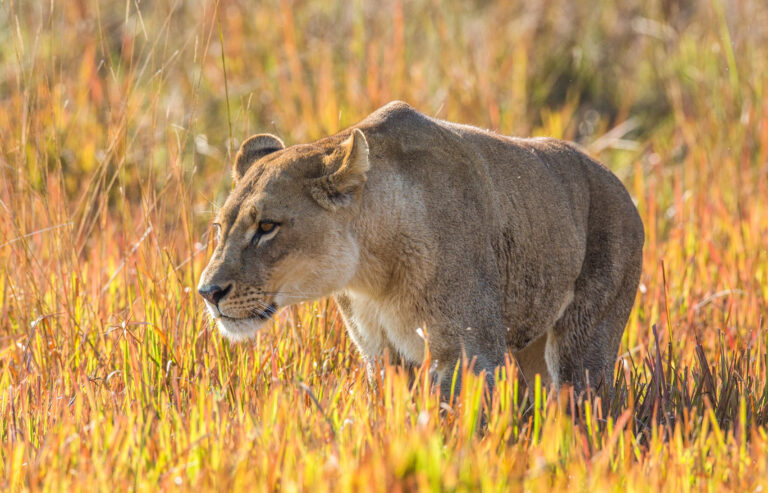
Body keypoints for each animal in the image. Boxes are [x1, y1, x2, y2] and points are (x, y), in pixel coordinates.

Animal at [198, 101, 644, 397]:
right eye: (219, 228)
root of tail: (618, 183)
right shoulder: (382, 355)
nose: (207, 292)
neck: (371, 272)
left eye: (266, 227)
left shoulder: (472, 354)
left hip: (585, 342)